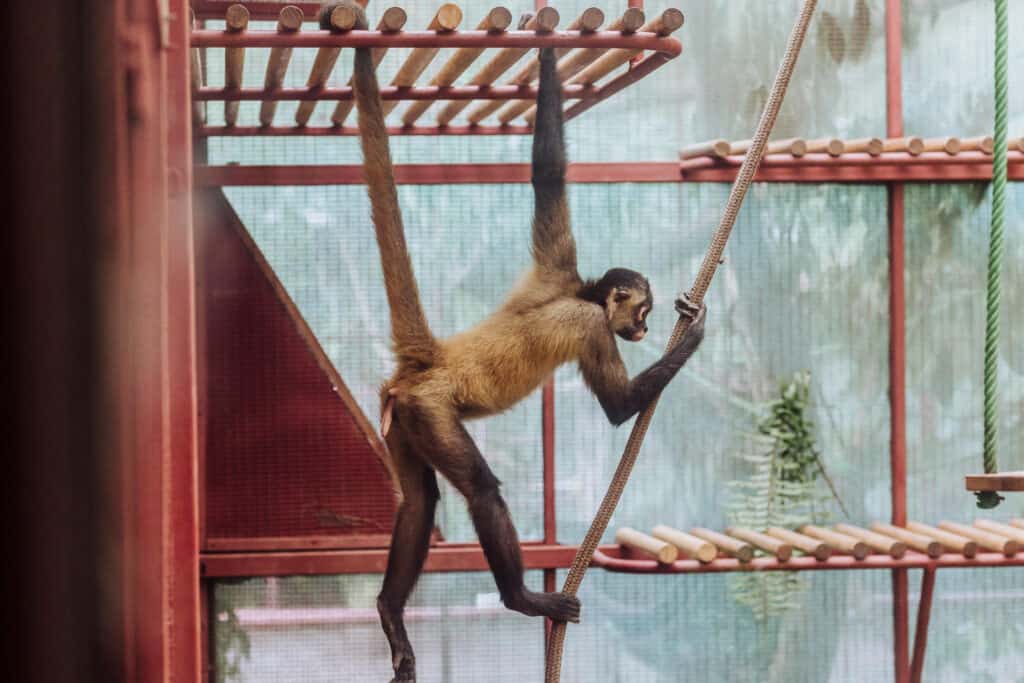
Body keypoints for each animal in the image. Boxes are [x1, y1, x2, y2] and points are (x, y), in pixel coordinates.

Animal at [323, 3, 707, 680]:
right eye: (644, 310)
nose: (644, 329)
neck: (581, 293)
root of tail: (428, 361)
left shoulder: (556, 265)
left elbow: (547, 173)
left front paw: (549, 47)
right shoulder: (588, 324)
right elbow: (617, 408)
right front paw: (695, 332)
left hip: (401, 418)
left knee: (418, 501)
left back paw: (391, 612)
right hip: (431, 409)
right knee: (479, 490)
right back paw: (522, 598)